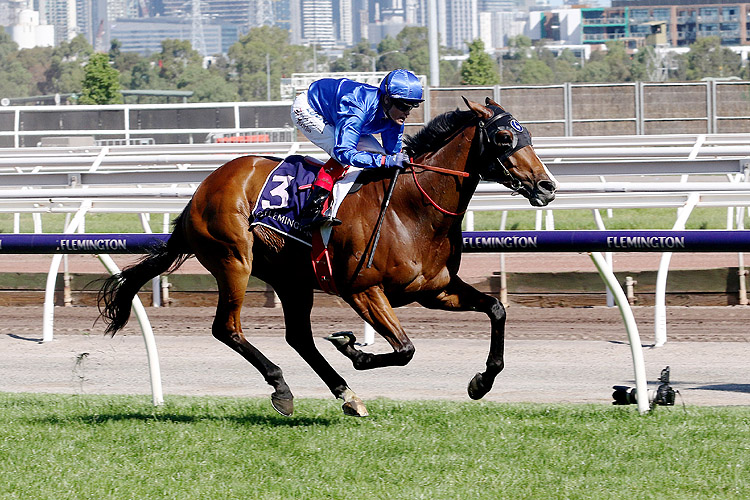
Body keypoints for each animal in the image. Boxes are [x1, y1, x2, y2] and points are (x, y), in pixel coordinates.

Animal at [97, 95, 560, 416]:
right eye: (504, 137)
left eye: (529, 136)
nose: (547, 185)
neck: (412, 209)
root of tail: (203, 188)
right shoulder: (363, 289)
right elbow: (405, 349)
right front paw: (353, 348)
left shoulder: (436, 291)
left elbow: (497, 309)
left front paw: (481, 382)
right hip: (234, 260)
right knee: (227, 328)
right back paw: (282, 387)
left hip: (292, 278)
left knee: (298, 337)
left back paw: (346, 395)